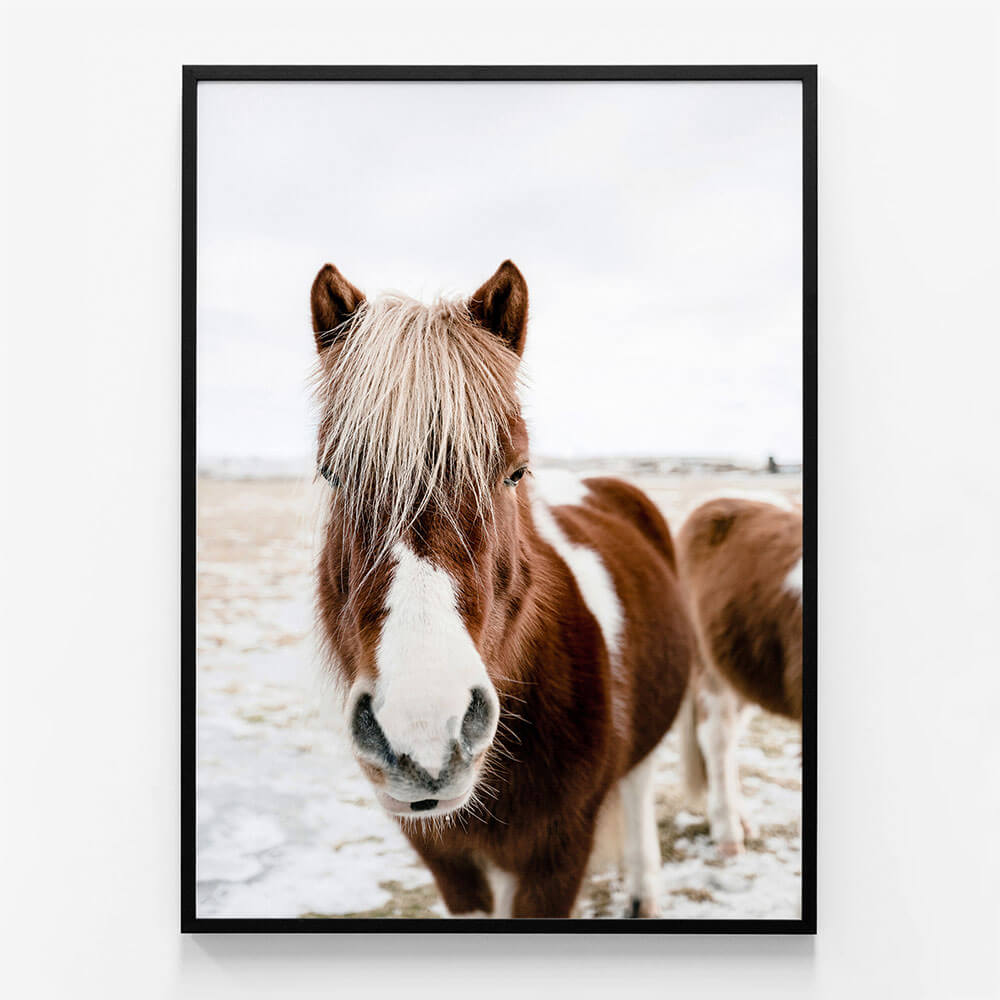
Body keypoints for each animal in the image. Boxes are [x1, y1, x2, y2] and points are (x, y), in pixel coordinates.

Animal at [309, 260, 696, 918]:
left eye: (515, 471)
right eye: (332, 472)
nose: (423, 731)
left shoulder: (557, 861)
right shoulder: (449, 864)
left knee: (639, 784)